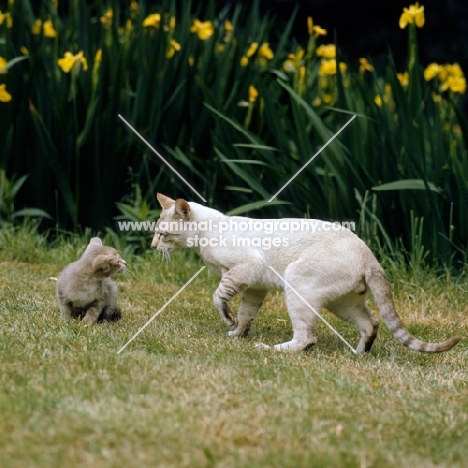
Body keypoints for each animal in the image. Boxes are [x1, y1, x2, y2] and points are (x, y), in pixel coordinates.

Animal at [153, 192, 460, 352]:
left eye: (163, 234)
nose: (153, 246)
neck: (205, 234)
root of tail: (368, 255)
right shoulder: (254, 287)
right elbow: (245, 314)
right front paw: (237, 334)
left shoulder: (245, 269)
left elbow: (219, 297)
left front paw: (230, 324)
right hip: (342, 302)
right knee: (372, 323)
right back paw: (358, 354)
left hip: (297, 283)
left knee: (307, 339)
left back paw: (269, 350)